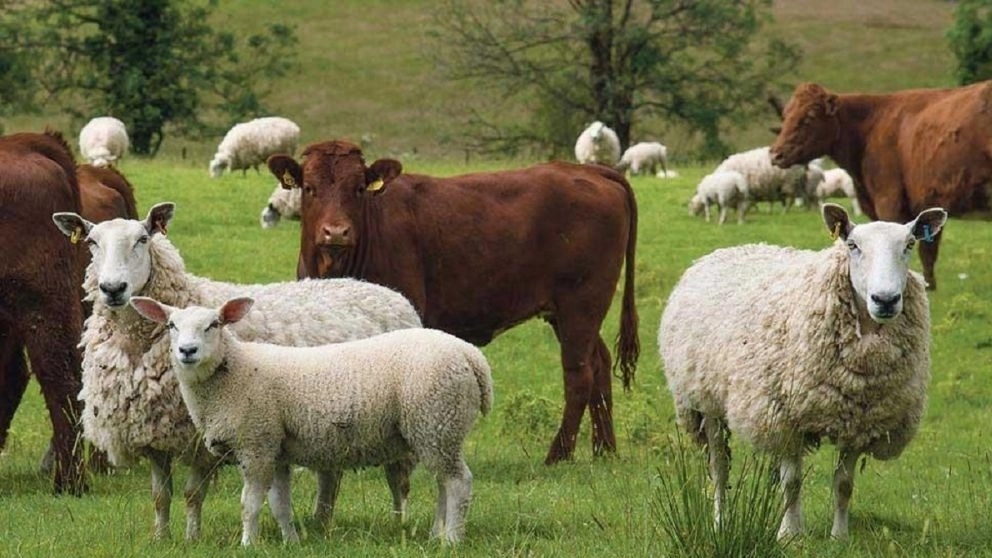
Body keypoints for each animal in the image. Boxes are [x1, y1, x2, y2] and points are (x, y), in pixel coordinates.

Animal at [50, 202, 423, 541]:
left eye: (142, 239)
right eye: (92, 242)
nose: (113, 289)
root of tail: (386, 292)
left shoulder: (202, 439)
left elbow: (192, 494)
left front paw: (192, 539)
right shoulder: (153, 435)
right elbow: (160, 497)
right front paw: (161, 538)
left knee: (399, 480)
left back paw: (400, 524)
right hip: (331, 426)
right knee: (330, 475)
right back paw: (320, 523)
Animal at [129, 296, 493, 546]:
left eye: (214, 325)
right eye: (172, 325)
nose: (187, 351)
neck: (234, 372)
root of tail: (470, 355)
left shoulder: (256, 444)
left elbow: (250, 503)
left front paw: (248, 543)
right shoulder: (275, 448)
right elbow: (279, 503)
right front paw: (291, 541)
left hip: (436, 421)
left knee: (459, 482)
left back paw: (452, 540)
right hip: (438, 431)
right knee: (444, 482)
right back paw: (436, 535)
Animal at [658, 203, 947, 540]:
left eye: (910, 244)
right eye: (853, 246)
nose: (885, 300)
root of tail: (733, 248)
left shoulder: (859, 421)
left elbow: (843, 485)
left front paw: (838, 536)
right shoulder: (784, 417)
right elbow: (792, 482)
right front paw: (790, 535)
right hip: (704, 402)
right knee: (719, 468)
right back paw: (721, 522)